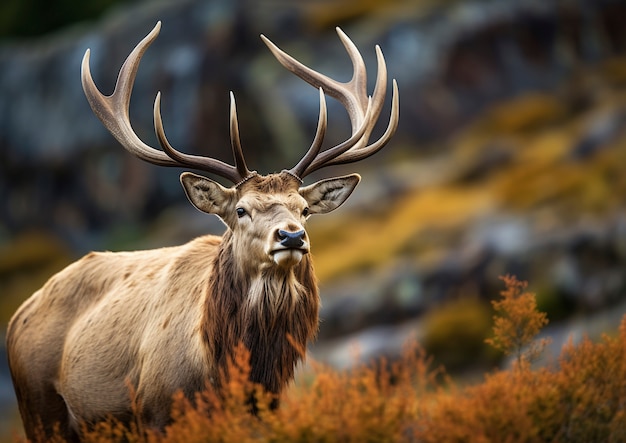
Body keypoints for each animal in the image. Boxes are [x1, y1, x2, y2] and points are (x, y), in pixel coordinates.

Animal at [6, 22, 400, 442]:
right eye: (241, 210)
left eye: (304, 209)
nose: (291, 236)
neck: (219, 370)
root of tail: (17, 317)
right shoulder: (156, 413)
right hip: (41, 410)